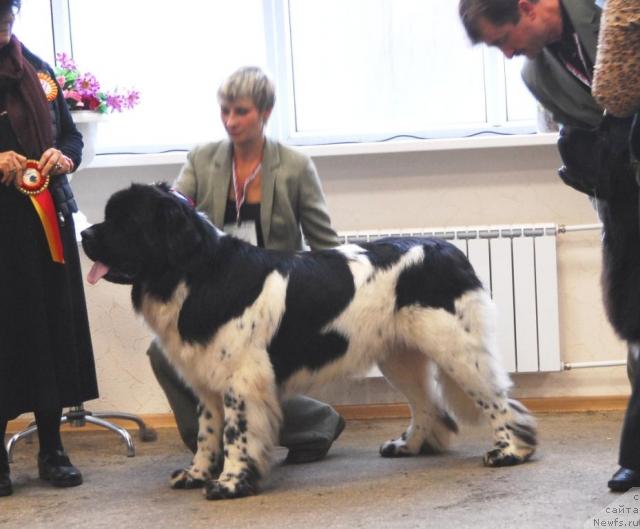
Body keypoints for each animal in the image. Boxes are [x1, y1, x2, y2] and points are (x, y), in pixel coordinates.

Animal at [82, 184, 536, 498]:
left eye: (125, 221)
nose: (84, 235)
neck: (196, 273)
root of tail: (448, 250)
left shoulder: (242, 381)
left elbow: (235, 435)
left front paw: (230, 484)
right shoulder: (208, 380)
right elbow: (208, 434)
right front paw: (196, 475)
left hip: (457, 349)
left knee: (500, 402)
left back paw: (510, 452)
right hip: (399, 356)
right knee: (427, 405)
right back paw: (409, 446)